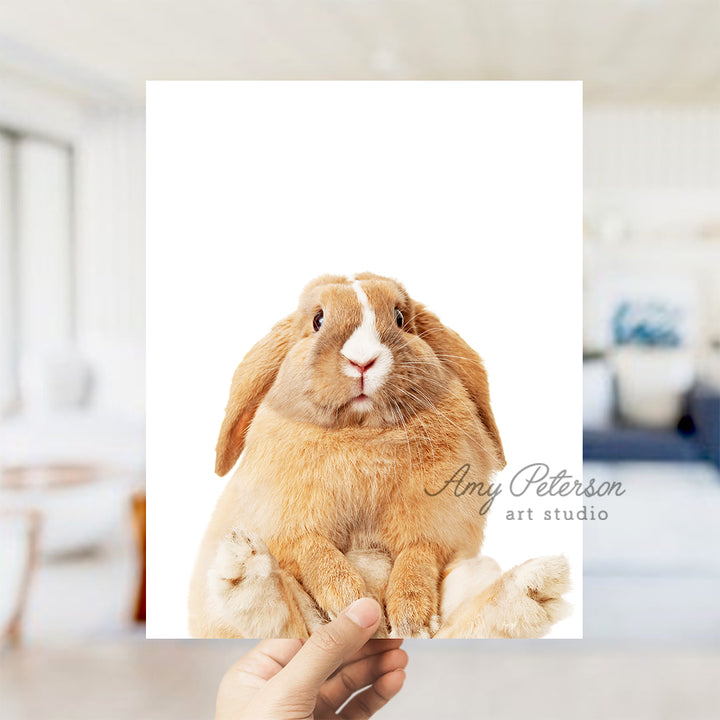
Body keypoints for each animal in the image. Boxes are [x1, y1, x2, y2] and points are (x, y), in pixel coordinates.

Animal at [188, 272, 528, 640]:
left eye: (399, 318)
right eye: (318, 320)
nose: (362, 361)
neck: (362, 433)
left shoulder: (436, 525)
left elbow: (417, 556)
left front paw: (413, 619)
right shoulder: (289, 524)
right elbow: (316, 552)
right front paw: (352, 604)